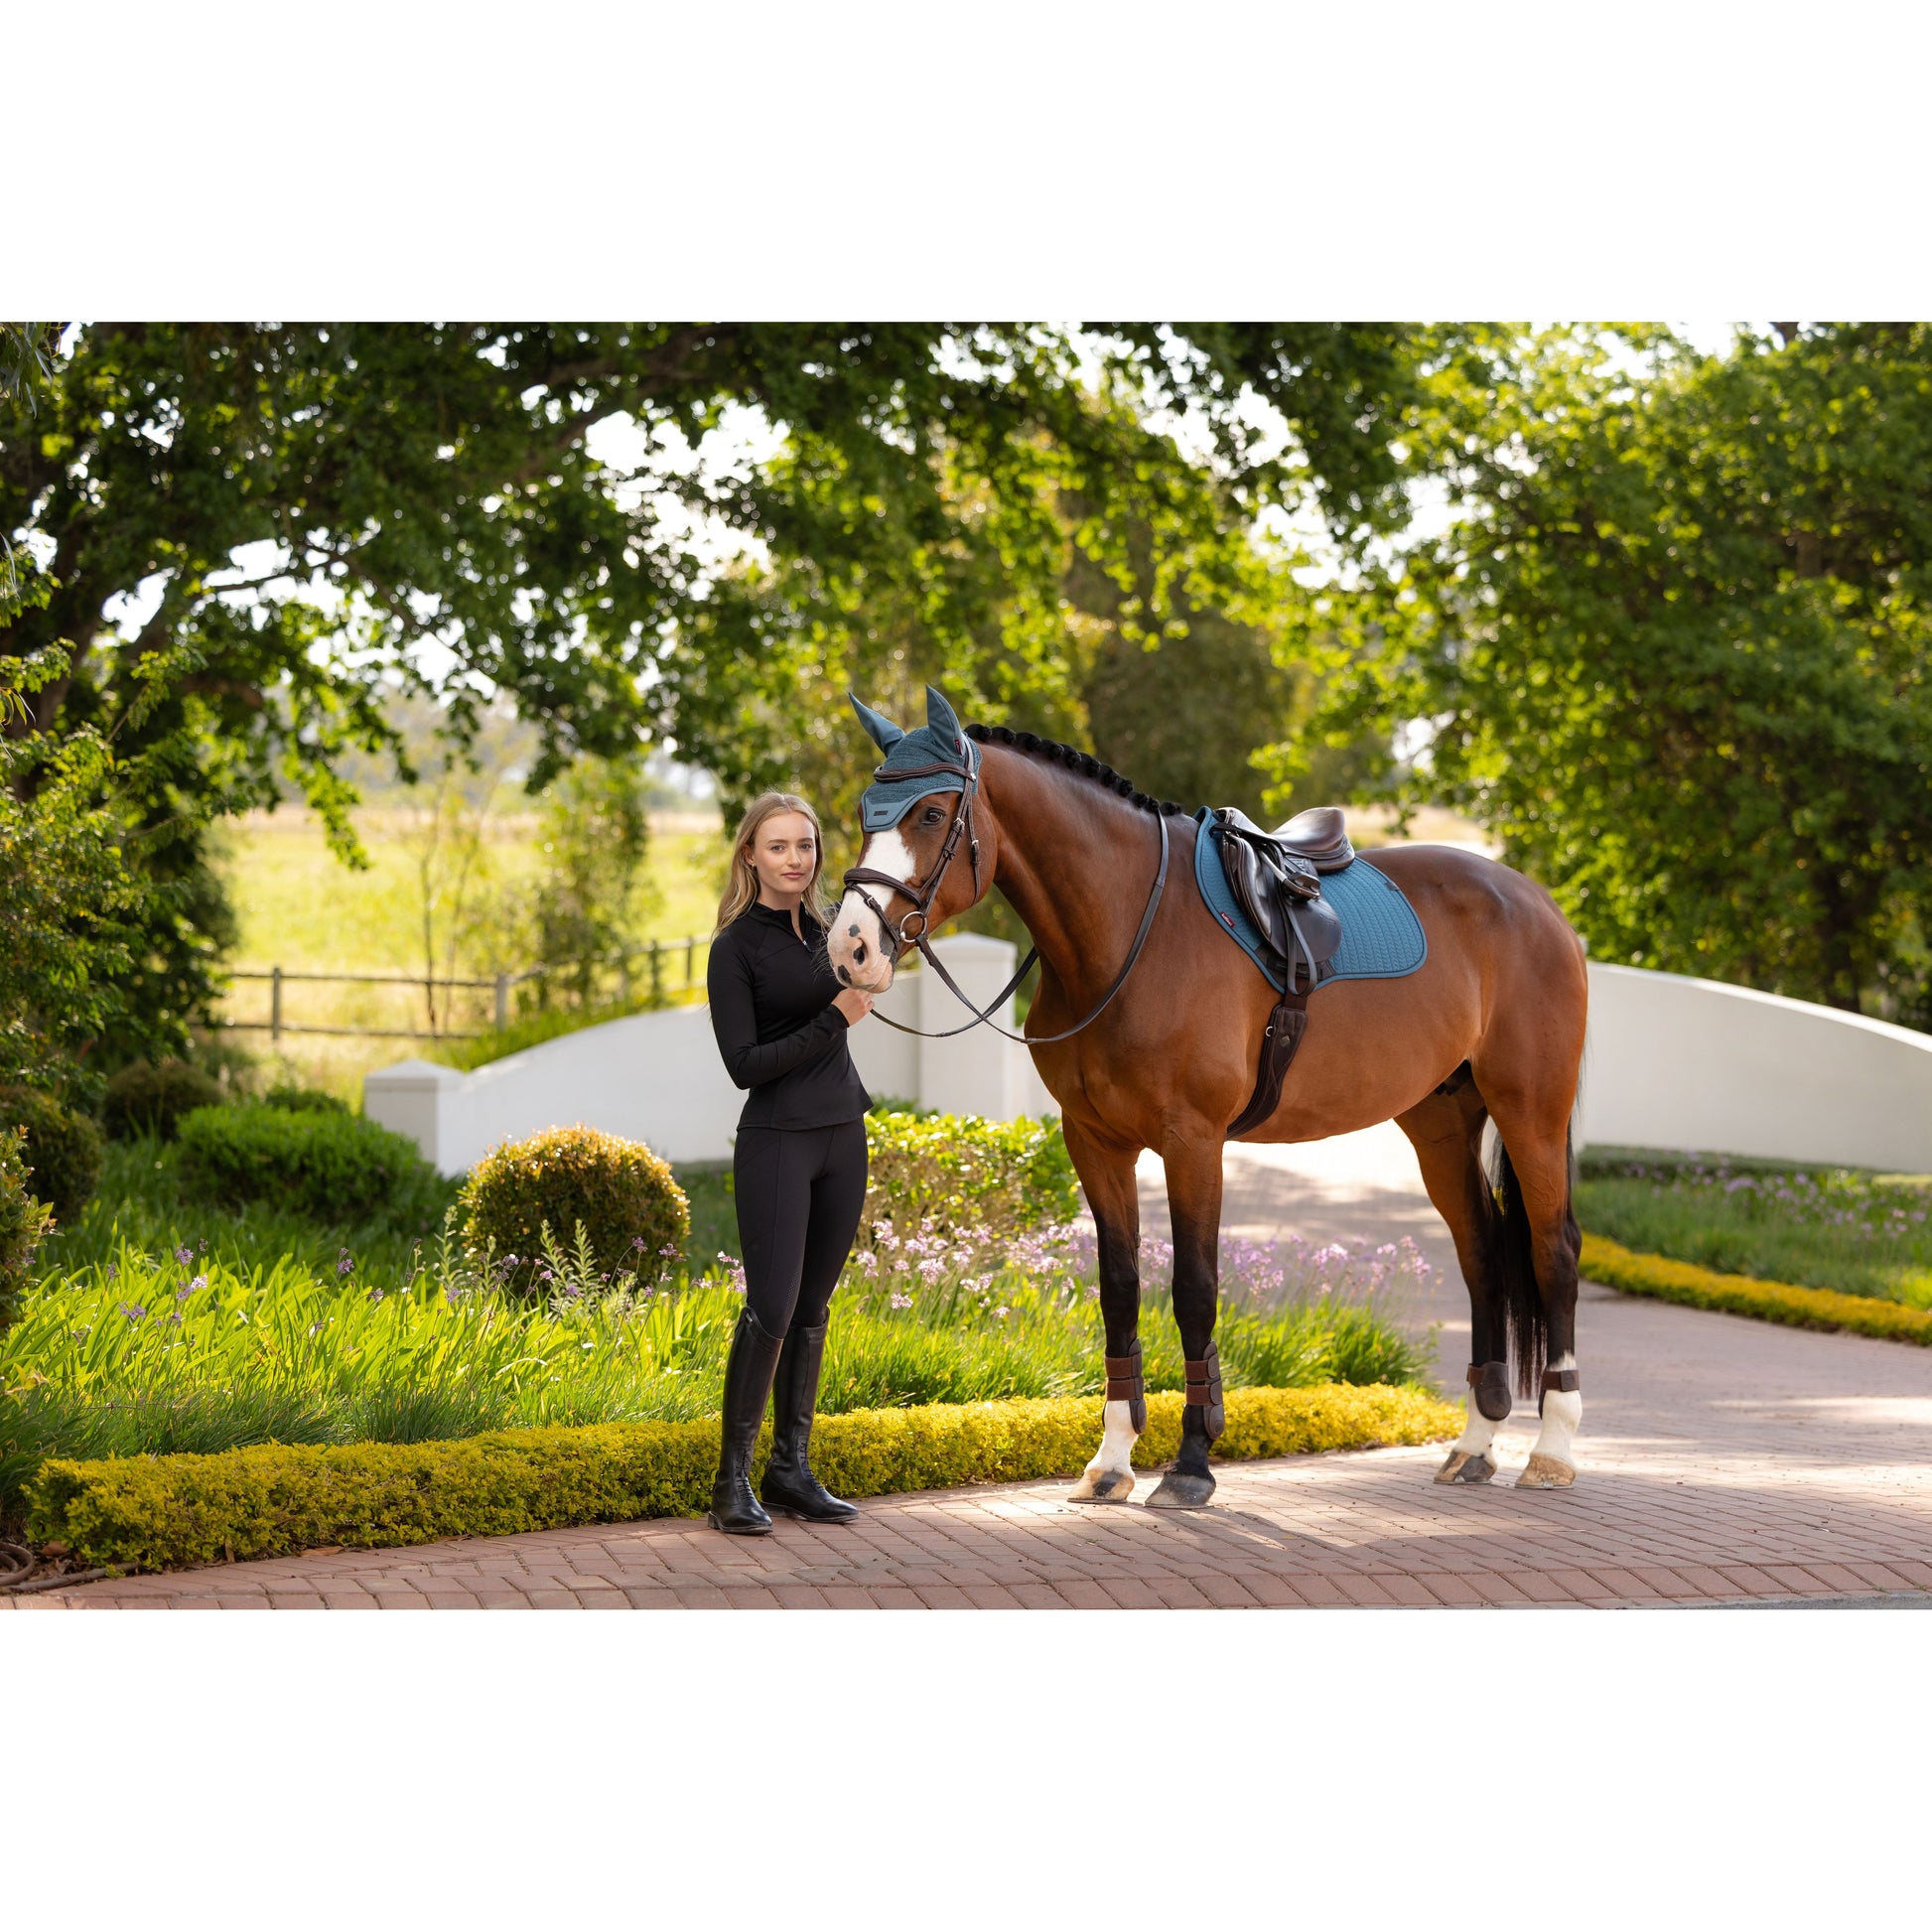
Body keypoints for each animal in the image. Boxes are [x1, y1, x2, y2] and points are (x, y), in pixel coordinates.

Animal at [829, 686, 1588, 1510]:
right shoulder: (1094, 1141)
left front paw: (1192, 1461)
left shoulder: (1192, 1141)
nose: (850, 945)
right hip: (1441, 1122)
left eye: (932, 814)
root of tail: (1536, 902)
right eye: (868, 809)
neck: (1129, 930)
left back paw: (1551, 1449)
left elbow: (1194, 1289)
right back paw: (1475, 1445)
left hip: (1530, 1111)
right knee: (1482, 1253)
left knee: (1552, 1253)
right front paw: (1112, 1460)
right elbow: (1120, 1290)